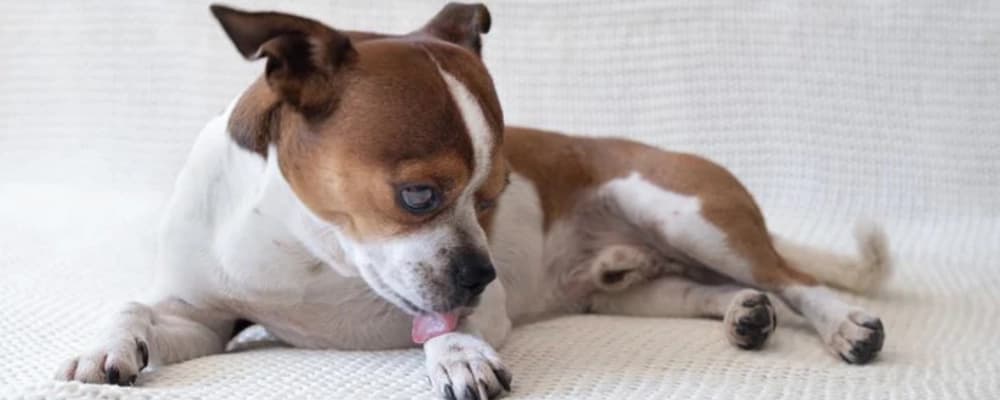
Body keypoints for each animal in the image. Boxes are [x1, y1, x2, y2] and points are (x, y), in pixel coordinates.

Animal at [56, 3, 892, 400]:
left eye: (493, 198)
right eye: (419, 194)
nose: (485, 273)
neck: (309, 252)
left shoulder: (464, 304)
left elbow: (445, 329)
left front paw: (457, 356)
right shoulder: (205, 319)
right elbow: (138, 308)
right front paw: (108, 346)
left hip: (686, 214)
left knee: (794, 280)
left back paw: (844, 325)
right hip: (630, 292)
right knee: (707, 289)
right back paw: (743, 314)